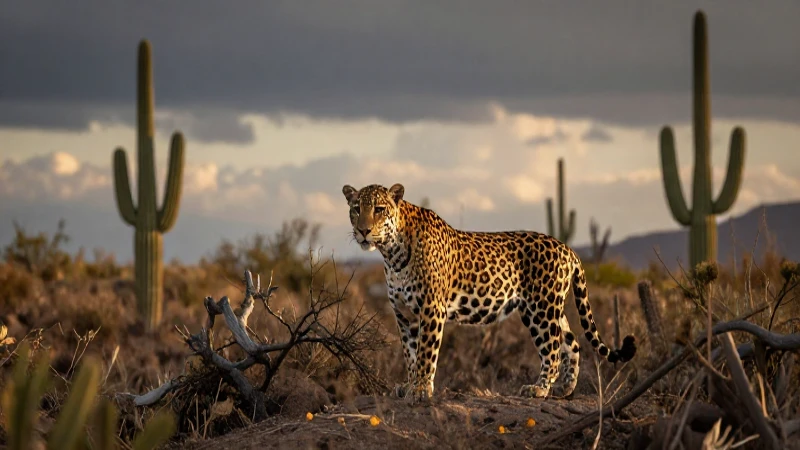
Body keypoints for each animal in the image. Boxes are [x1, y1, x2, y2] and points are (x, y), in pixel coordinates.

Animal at [341, 182, 636, 403]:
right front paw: (409, 384)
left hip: (541, 308)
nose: (363, 230)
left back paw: (539, 388)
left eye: (379, 209)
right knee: (571, 342)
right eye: (356, 209)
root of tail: (567, 248)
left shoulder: (431, 308)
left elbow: (426, 352)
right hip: (547, 307)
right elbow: (410, 352)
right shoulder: (404, 314)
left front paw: (421, 389)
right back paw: (564, 388)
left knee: (552, 348)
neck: (392, 254)